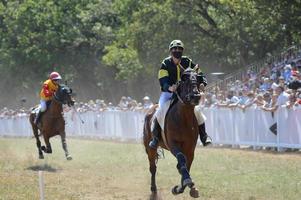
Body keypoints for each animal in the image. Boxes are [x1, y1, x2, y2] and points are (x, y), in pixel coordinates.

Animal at [142, 68, 202, 198]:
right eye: (184, 80)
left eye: (197, 78)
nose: (196, 96)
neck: (183, 119)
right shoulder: (174, 145)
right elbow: (182, 159)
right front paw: (186, 182)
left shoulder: (190, 149)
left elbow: (186, 165)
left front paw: (183, 188)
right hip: (150, 148)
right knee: (153, 167)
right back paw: (153, 188)